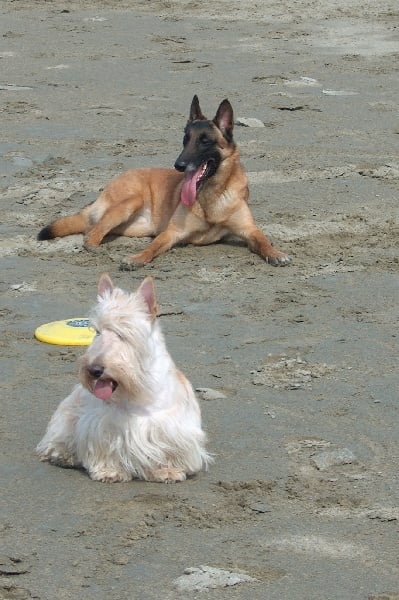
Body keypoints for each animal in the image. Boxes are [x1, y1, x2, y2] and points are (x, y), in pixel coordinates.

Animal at [36, 276, 212, 482]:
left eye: (124, 334)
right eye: (97, 332)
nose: (94, 369)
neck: (137, 390)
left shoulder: (172, 429)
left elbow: (168, 451)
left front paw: (167, 470)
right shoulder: (102, 425)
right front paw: (109, 471)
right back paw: (63, 455)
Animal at [38, 96, 290, 264]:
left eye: (205, 141)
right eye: (185, 140)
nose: (179, 165)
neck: (213, 196)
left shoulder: (249, 230)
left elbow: (263, 240)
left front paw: (276, 253)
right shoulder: (171, 233)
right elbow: (154, 246)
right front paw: (137, 257)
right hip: (130, 202)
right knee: (91, 234)